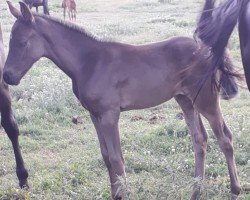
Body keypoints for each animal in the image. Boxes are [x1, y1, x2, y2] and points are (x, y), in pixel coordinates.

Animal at [2, 1, 241, 200]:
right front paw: (115, 193)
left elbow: (117, 159)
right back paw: (195, 192)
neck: (88, 62)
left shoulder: (110, 114)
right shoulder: (94, 114)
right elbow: (106, 156)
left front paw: (122, 193)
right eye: (11, 40)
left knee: (225, 139)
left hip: (206, 100)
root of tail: (208, 49)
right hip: (185, 100)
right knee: (200, 140)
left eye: (22, 42)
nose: (7, 76)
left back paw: (235, 190)